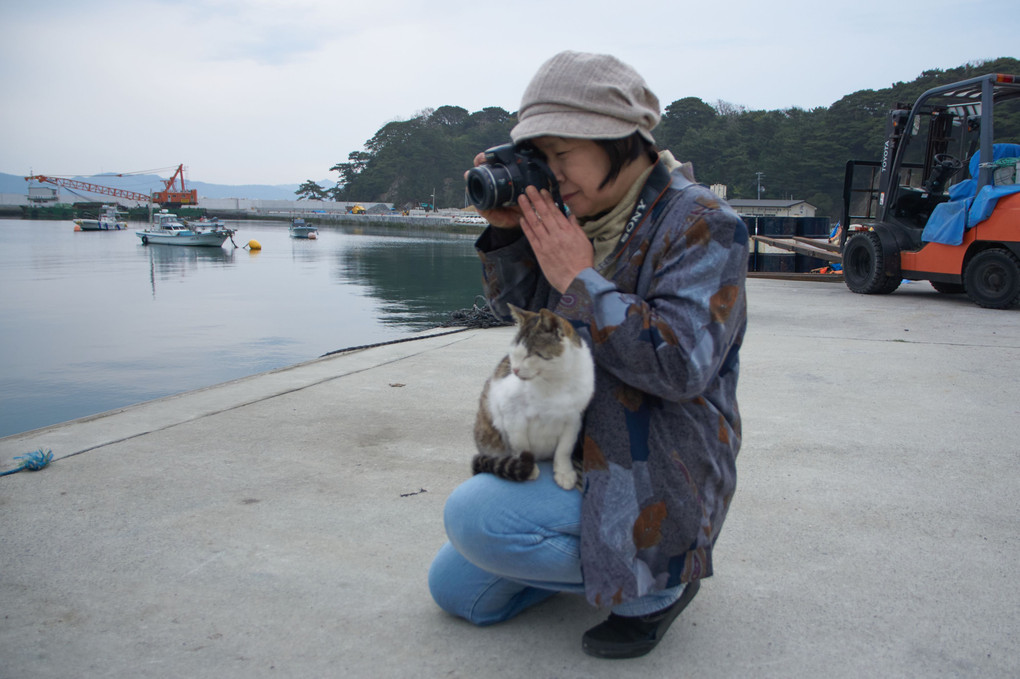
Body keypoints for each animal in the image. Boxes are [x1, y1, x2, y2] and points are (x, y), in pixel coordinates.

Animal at [471, 303, 595, 489]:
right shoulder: (513, 415)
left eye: (529, 354)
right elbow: (522, 445)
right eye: (513, 352)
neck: (553, 382)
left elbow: (564, 449)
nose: (514, 370)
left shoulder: (573, 419)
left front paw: (564, 472)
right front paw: (527, 467)